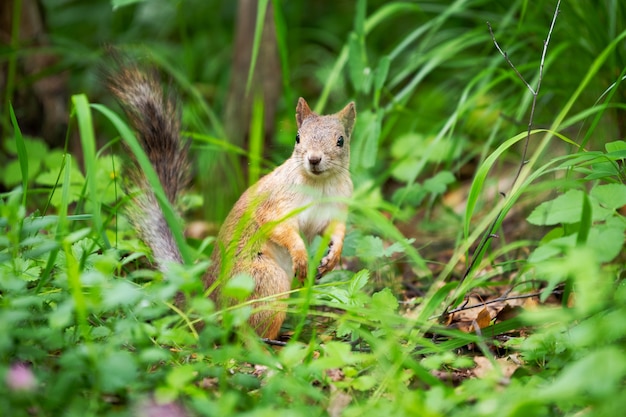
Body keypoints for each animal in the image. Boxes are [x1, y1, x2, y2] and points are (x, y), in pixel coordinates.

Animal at [108, 63, 356, 340]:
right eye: (298, 138)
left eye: (340, 140)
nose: (314, 159)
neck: (319, 184)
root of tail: (210, 303)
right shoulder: (275, 203)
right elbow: (280, 227)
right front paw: (301, 256)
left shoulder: (336, 207)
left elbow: (336, 230)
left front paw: (333, 257)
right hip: (264, 280)